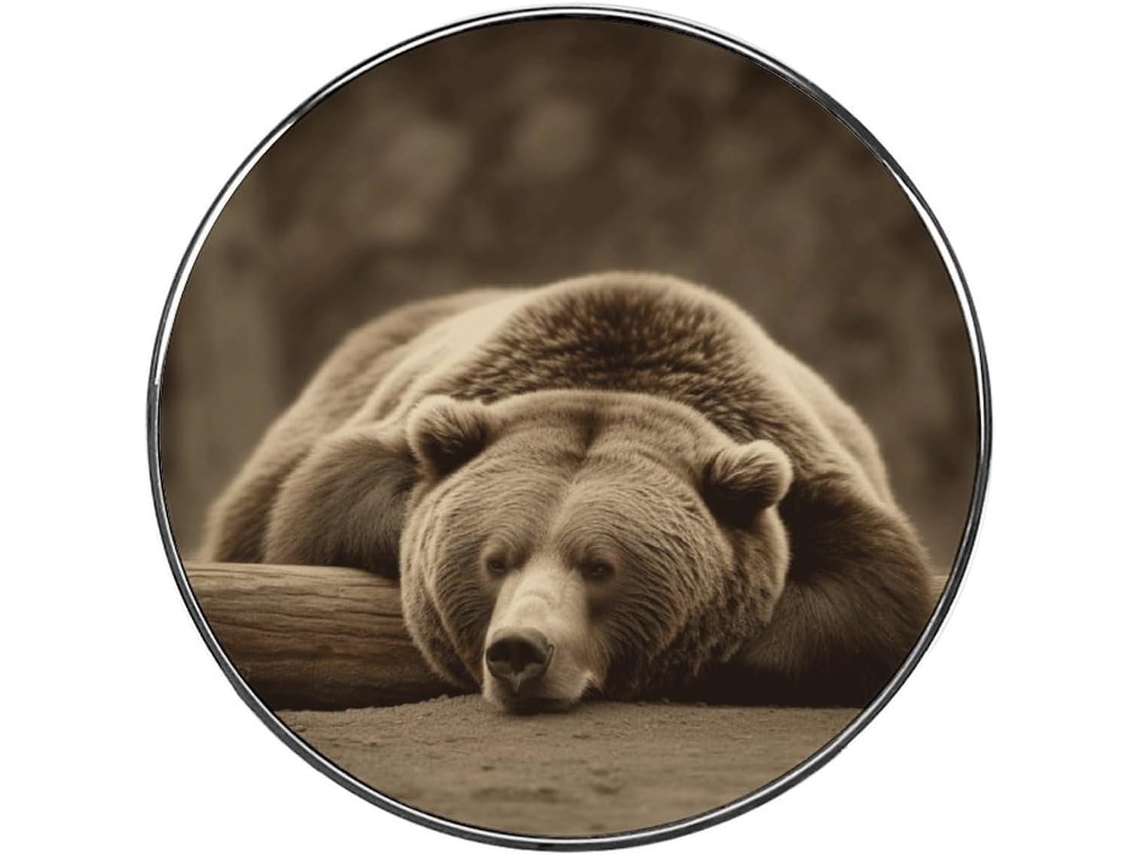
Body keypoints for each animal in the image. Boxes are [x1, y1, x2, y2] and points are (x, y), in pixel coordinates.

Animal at [198, 272, 935, 712]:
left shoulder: (805, 475)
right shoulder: (416, 418)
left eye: (601, 566)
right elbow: (319, 497)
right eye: (494, 559)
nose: (521, 649)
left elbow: (869, 596)